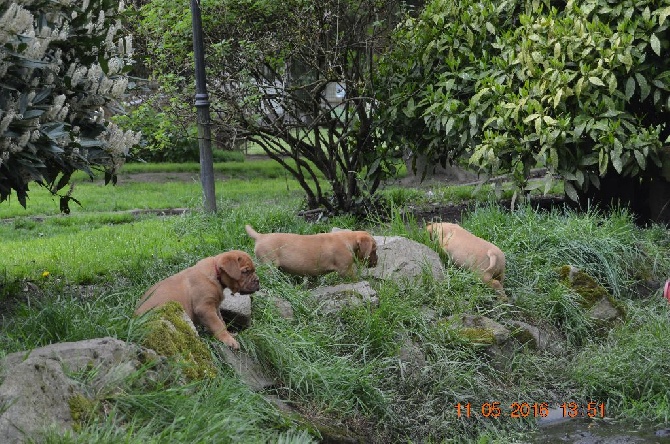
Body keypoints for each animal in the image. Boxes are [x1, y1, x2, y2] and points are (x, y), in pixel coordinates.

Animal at [247, 225, 380, 278]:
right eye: (374, 250)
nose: (377, 263)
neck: (348, 240)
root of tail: (260, 236)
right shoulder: (345, 271)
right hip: (269, 266)